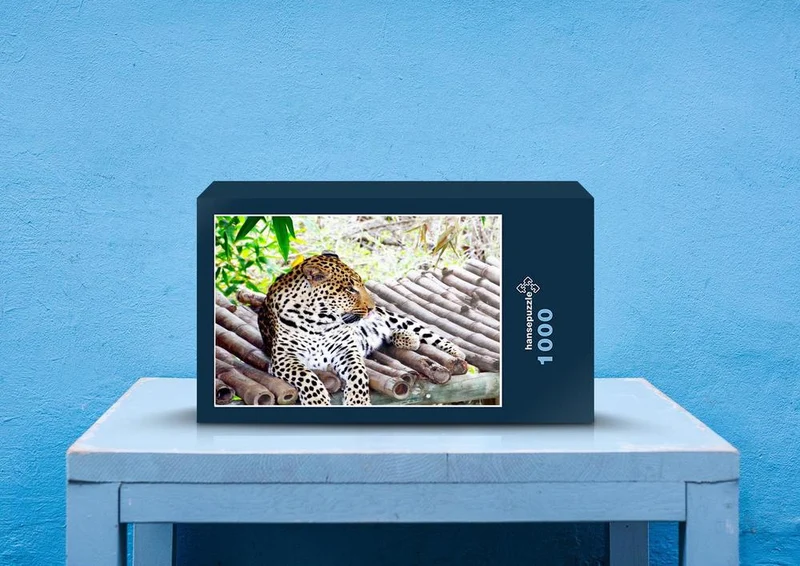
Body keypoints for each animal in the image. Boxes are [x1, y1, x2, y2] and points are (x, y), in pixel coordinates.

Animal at [257, 252, 466, 406]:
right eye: (350, 289)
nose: (372, 307)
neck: (319, 322)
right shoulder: (283, 358)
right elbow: (308, 377)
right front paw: (318, 401)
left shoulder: (346, 351)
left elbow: (359, 375)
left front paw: (358, 402)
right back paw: (407, 339)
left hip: (394, 317)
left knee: (425, 333)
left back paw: (456, 354)